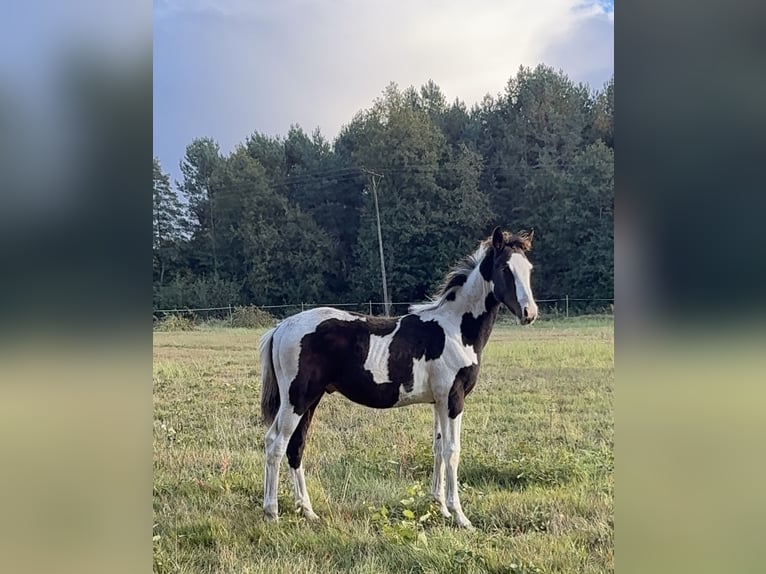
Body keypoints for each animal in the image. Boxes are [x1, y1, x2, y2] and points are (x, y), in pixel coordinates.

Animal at [258, 226, 538, 529]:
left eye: (529, 269)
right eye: (505, 268)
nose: (530, 313)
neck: (456, 329)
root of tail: (282, 327)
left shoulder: (438, 402)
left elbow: (438, 448)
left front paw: (440, 507)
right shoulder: (453, 399)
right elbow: (452, 451)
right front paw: (460, 517)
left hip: (311, 399)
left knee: (295, 446)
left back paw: (308, 510)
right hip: (297, 399)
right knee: (276, 443)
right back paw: (272, 512)